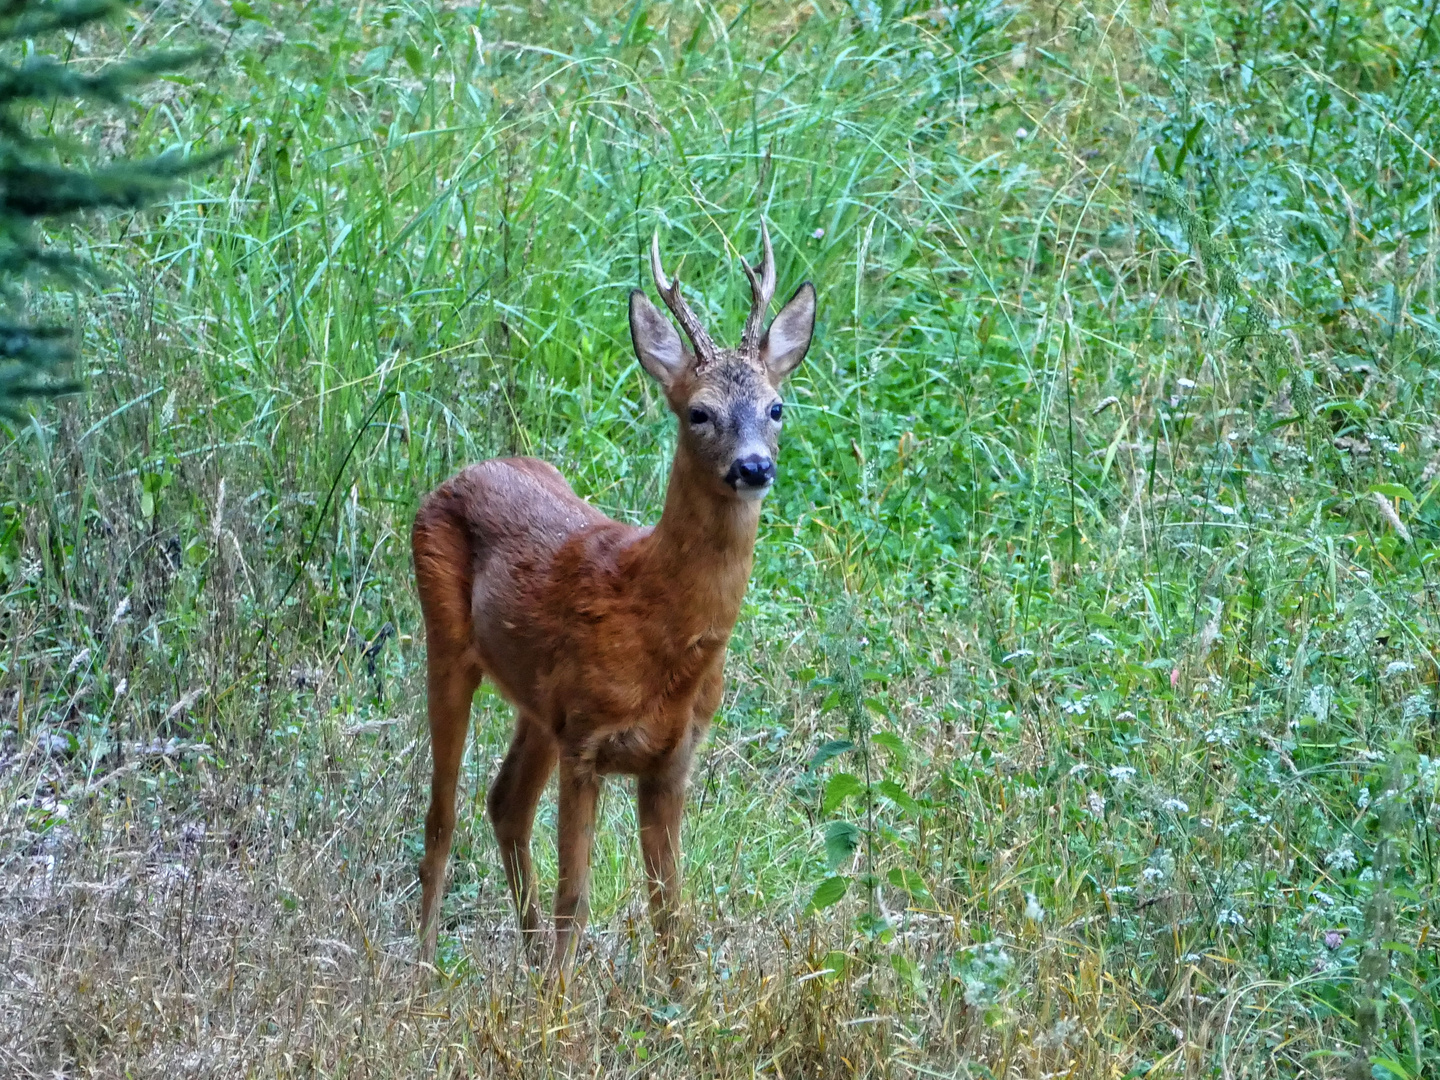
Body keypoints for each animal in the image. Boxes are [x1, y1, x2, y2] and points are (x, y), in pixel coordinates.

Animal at [411, 224, 817, 979]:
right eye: (699, 412)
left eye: (776, 408)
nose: (754, 466)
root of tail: (466, 471)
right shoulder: (588, 741)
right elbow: (577, 900)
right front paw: (558, 1008)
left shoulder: (672, 759)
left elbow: (671, 910)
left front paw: (677, 1002)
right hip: (447, 641)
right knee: (441, 816)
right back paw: (425, 969)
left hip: (538, 704)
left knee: (504, 803)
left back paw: (528, 962)